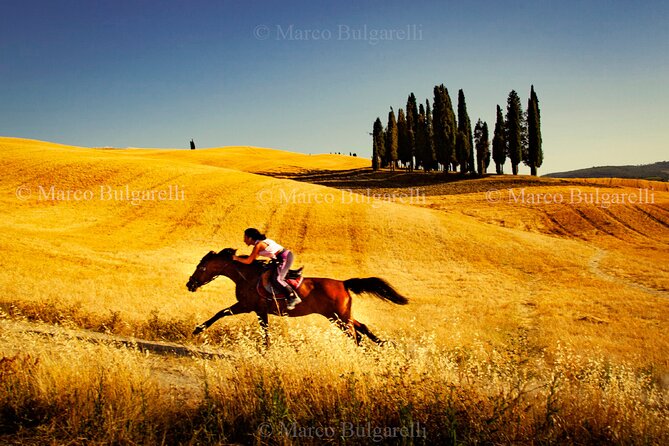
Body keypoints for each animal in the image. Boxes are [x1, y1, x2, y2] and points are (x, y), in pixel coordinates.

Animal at [185, 247, 410, 344]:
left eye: (201, 267)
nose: (190, 284)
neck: (247, 275)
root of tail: (343, 283)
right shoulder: (255, 309)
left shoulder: (248, 306)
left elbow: (222, 313)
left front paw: (197, 329)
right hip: (339, 316)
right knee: (361, 328)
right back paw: (380, 346)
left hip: (339, 317)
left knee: (355, 332)